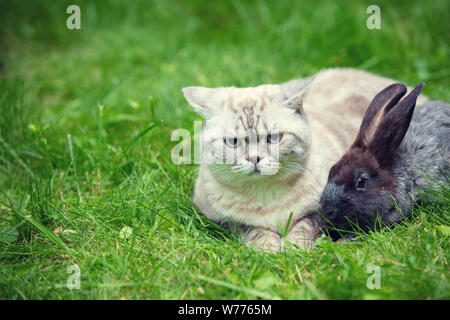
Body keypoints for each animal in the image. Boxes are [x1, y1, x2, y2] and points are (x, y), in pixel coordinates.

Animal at [181, 68, 428, 252]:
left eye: (273, 138)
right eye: (232, 142)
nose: (255, 158)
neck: (267, 196)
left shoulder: (324, 210)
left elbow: (305, 226)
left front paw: (294, 247)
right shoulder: (220, 219)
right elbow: (253, 230)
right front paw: (268, 247)